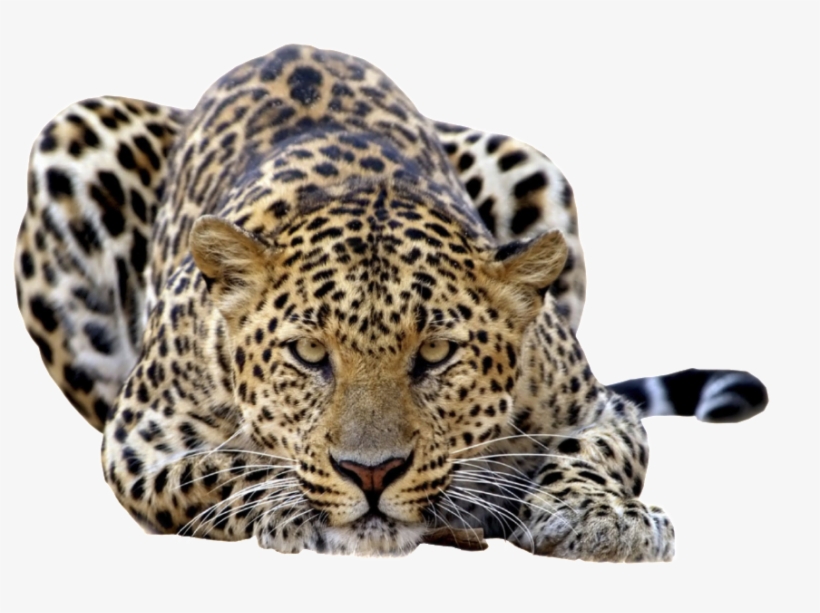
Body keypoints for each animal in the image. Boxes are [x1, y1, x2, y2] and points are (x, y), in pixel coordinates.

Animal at [14, 44, 768, 560]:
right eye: (308, 353)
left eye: (435, 354)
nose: (371, 473)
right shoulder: (138, 439)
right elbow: (226, 466)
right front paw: (296, 504)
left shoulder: (598, 408)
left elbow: (591, 451)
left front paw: (601, 517)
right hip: (72, 139)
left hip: (529, 163)